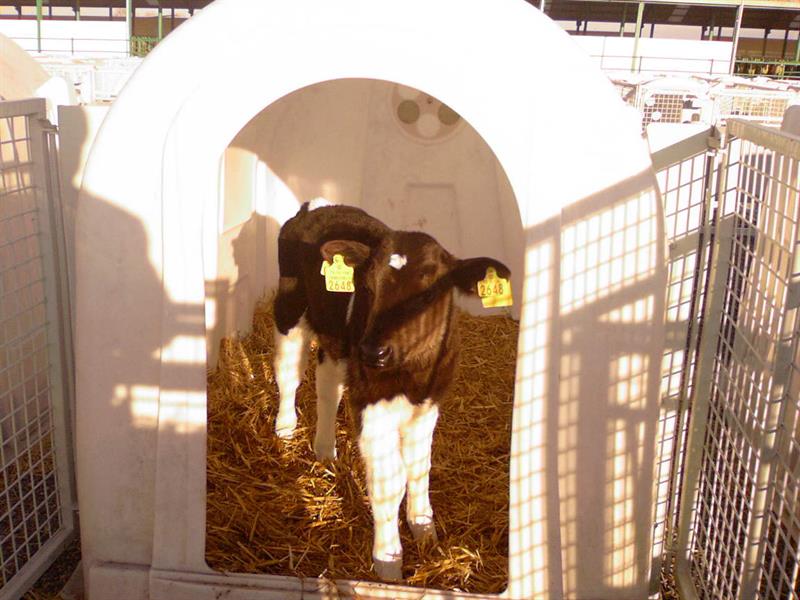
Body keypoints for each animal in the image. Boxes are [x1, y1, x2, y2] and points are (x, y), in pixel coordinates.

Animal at [272, 200, 510, 580]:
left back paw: (325, 449)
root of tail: (317, 206)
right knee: (287, 371)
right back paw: (284, 430)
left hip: (336, 338)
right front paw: (389, 562)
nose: (373, 352)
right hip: (290, 305)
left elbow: (419, 465)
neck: (412, 376)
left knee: (327, 383)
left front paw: (423, 527)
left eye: (429, 292)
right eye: (367, 286)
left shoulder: (429, 402)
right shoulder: (373, 406)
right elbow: (391, 480)